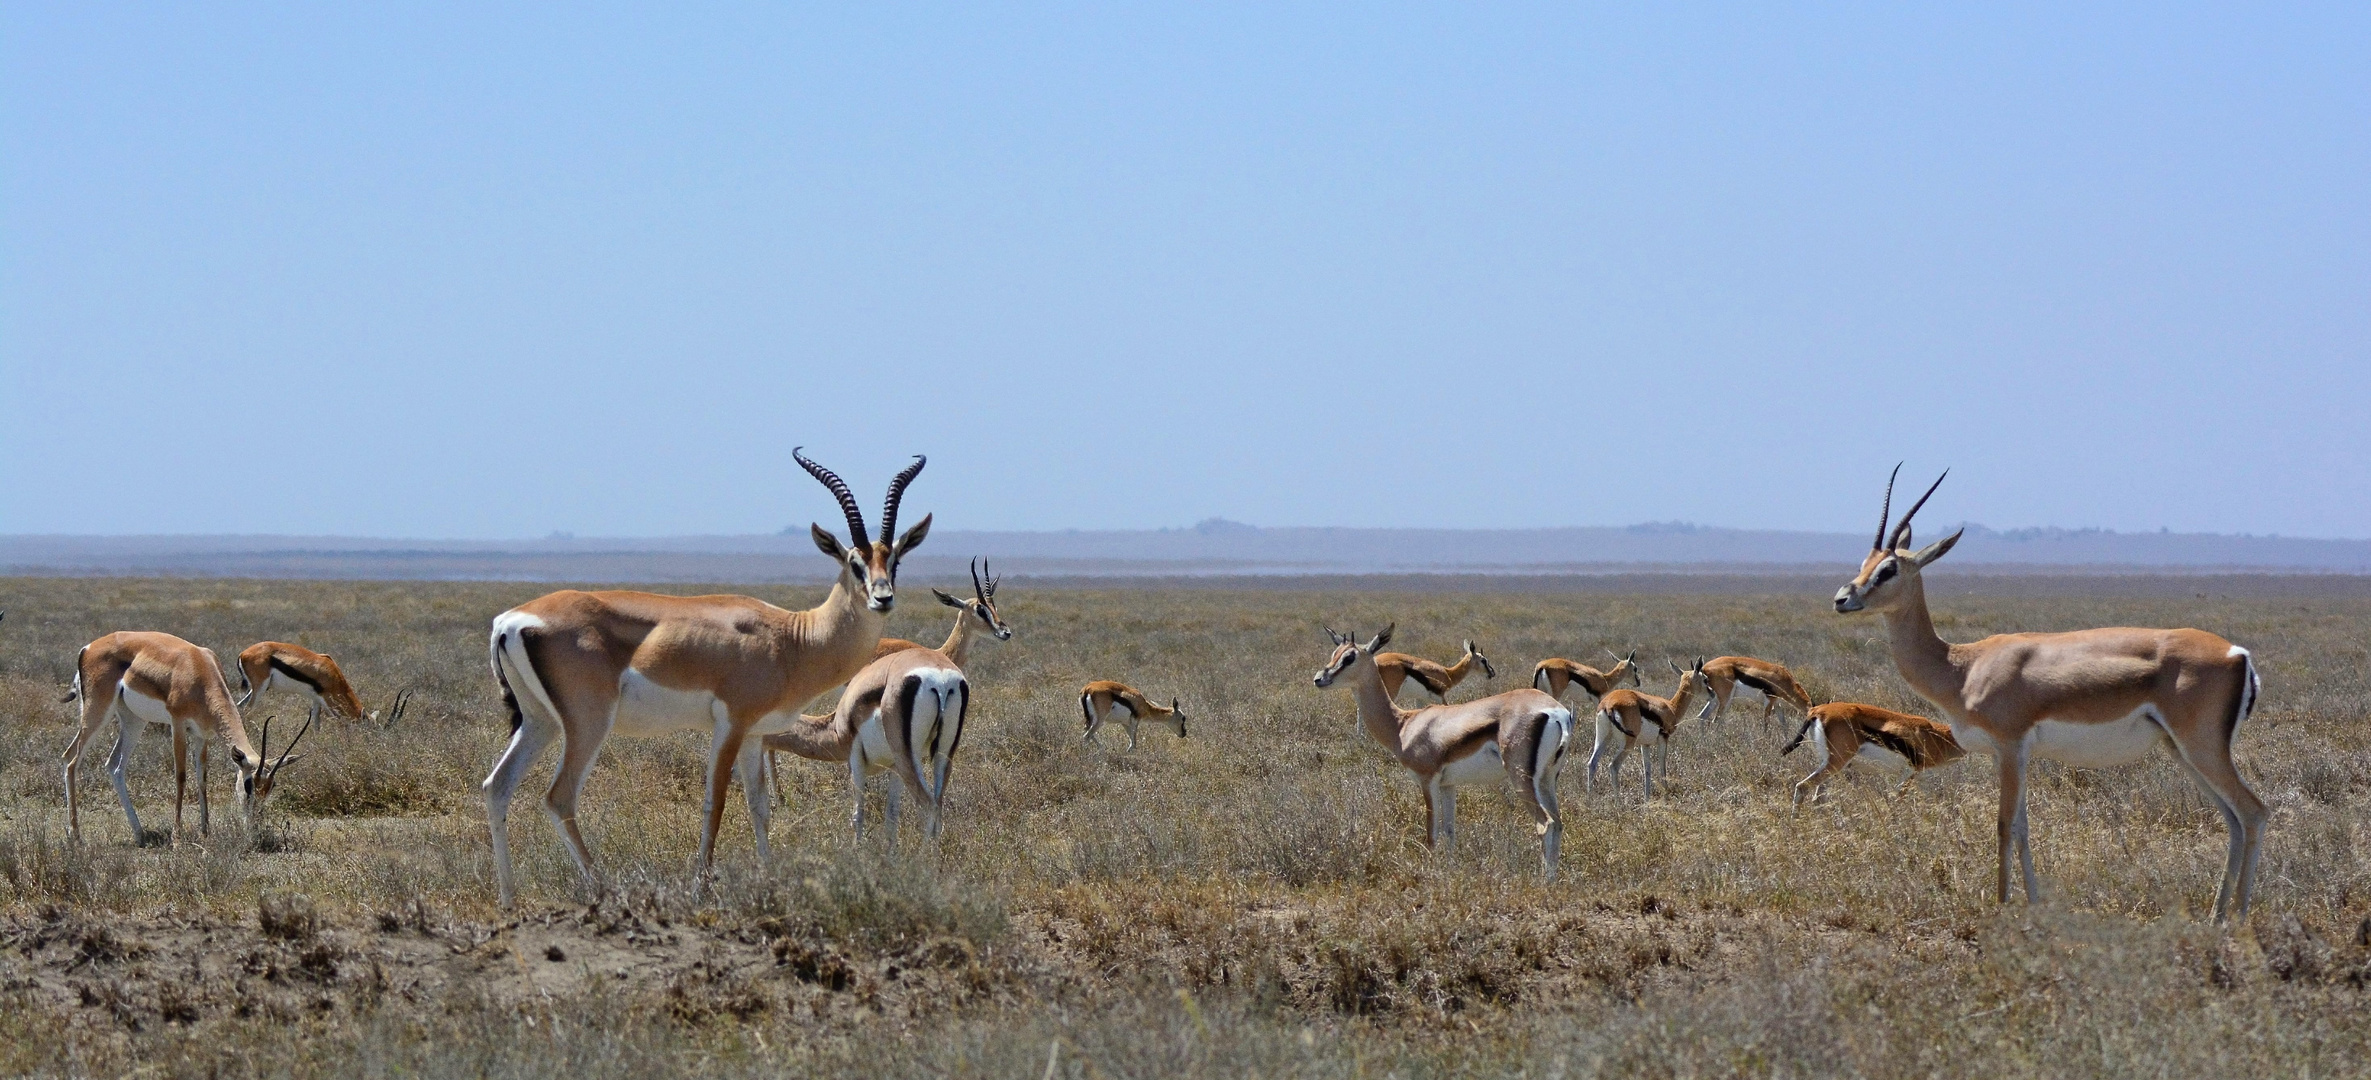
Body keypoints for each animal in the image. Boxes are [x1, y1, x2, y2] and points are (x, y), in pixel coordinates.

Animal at [62, 634, 308, 843]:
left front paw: (205, 832)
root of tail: (88, 647)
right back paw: (76, 836)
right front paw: (177, 838)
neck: (199, 673)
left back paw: (140, 834)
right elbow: (181, 777)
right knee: (71, 759)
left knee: (114, 765)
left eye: (271, 786)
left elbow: (202, 779)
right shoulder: (178, 725)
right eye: (248, 785)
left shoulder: (202, 735)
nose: (253, 826)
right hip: (97, 712)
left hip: (134, 721)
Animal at [1318, 625, 1574, 876]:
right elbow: (1449, 833)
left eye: (1350, 657)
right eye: (1334, 654)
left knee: (1546, 824)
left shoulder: (1427, 780)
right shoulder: (1448, 785)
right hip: (1547, 779)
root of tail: (1556, 712)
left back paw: (1543, 882)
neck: (1403, 725)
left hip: (1521, 779)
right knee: (1558, 823)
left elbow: (1432, 834)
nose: (1319, 678)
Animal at [1593, 653, 1707, 795]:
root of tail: (1608, 704)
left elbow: (1647, 771)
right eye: (1705, 679)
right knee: (1613, 766)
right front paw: (1666, 795)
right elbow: (1662, 767)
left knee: (1592, 763)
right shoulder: (1663, 738)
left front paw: (1647, 798)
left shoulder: (1645, 744)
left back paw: (1589, 799)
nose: (1712, 692)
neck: (1671, 707)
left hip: (1603, 737)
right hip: (1628, 743)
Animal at [1782, 705, 1963, 805]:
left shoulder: (1922, 778)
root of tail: (1816, 711)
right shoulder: (1909, 773)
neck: (1936, 736)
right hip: (1836, 763)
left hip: (1831, 766)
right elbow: (1896, 801)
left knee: (1817, 797)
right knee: (1802, 786)